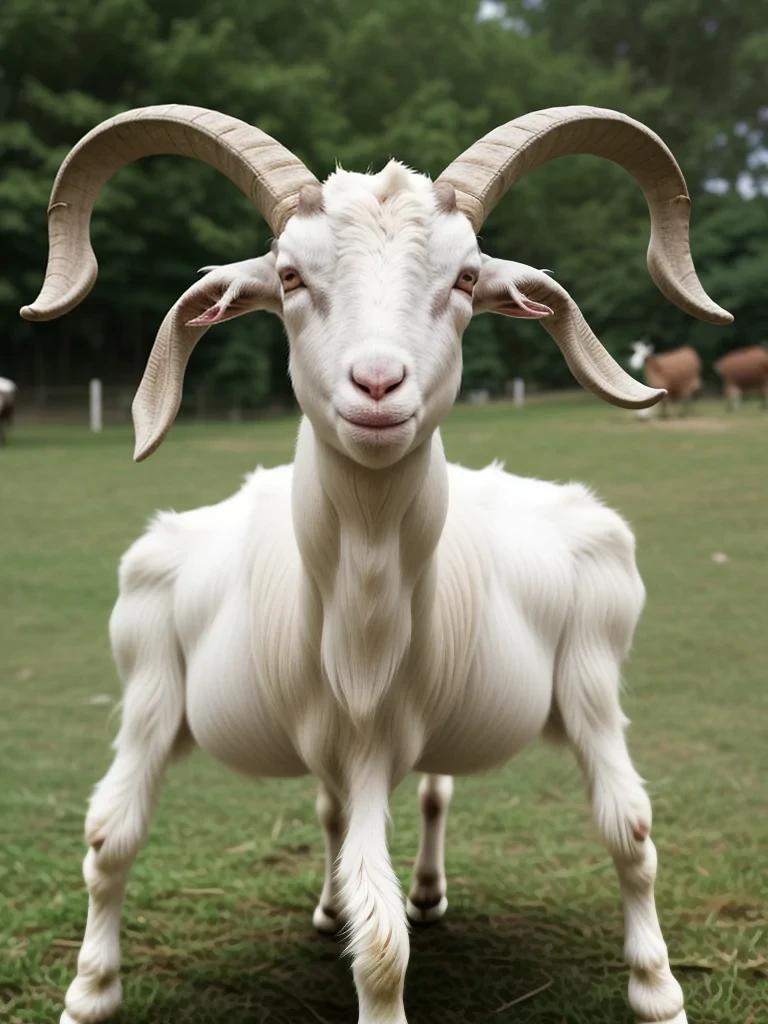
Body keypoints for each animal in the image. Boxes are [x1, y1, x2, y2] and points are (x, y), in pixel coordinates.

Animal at [22, 104, 732, 1024]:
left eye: (465, 279)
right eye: (289, 276)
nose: (377, 385)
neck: (362, 622)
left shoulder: (468, 714)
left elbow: (619, 835)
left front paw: (657, 993)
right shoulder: (174, 695)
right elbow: (113, 837)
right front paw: (88, 994)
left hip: (581, 673)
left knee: (483, 802)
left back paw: (433, 895)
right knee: (337, 814)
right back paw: (334, 906)